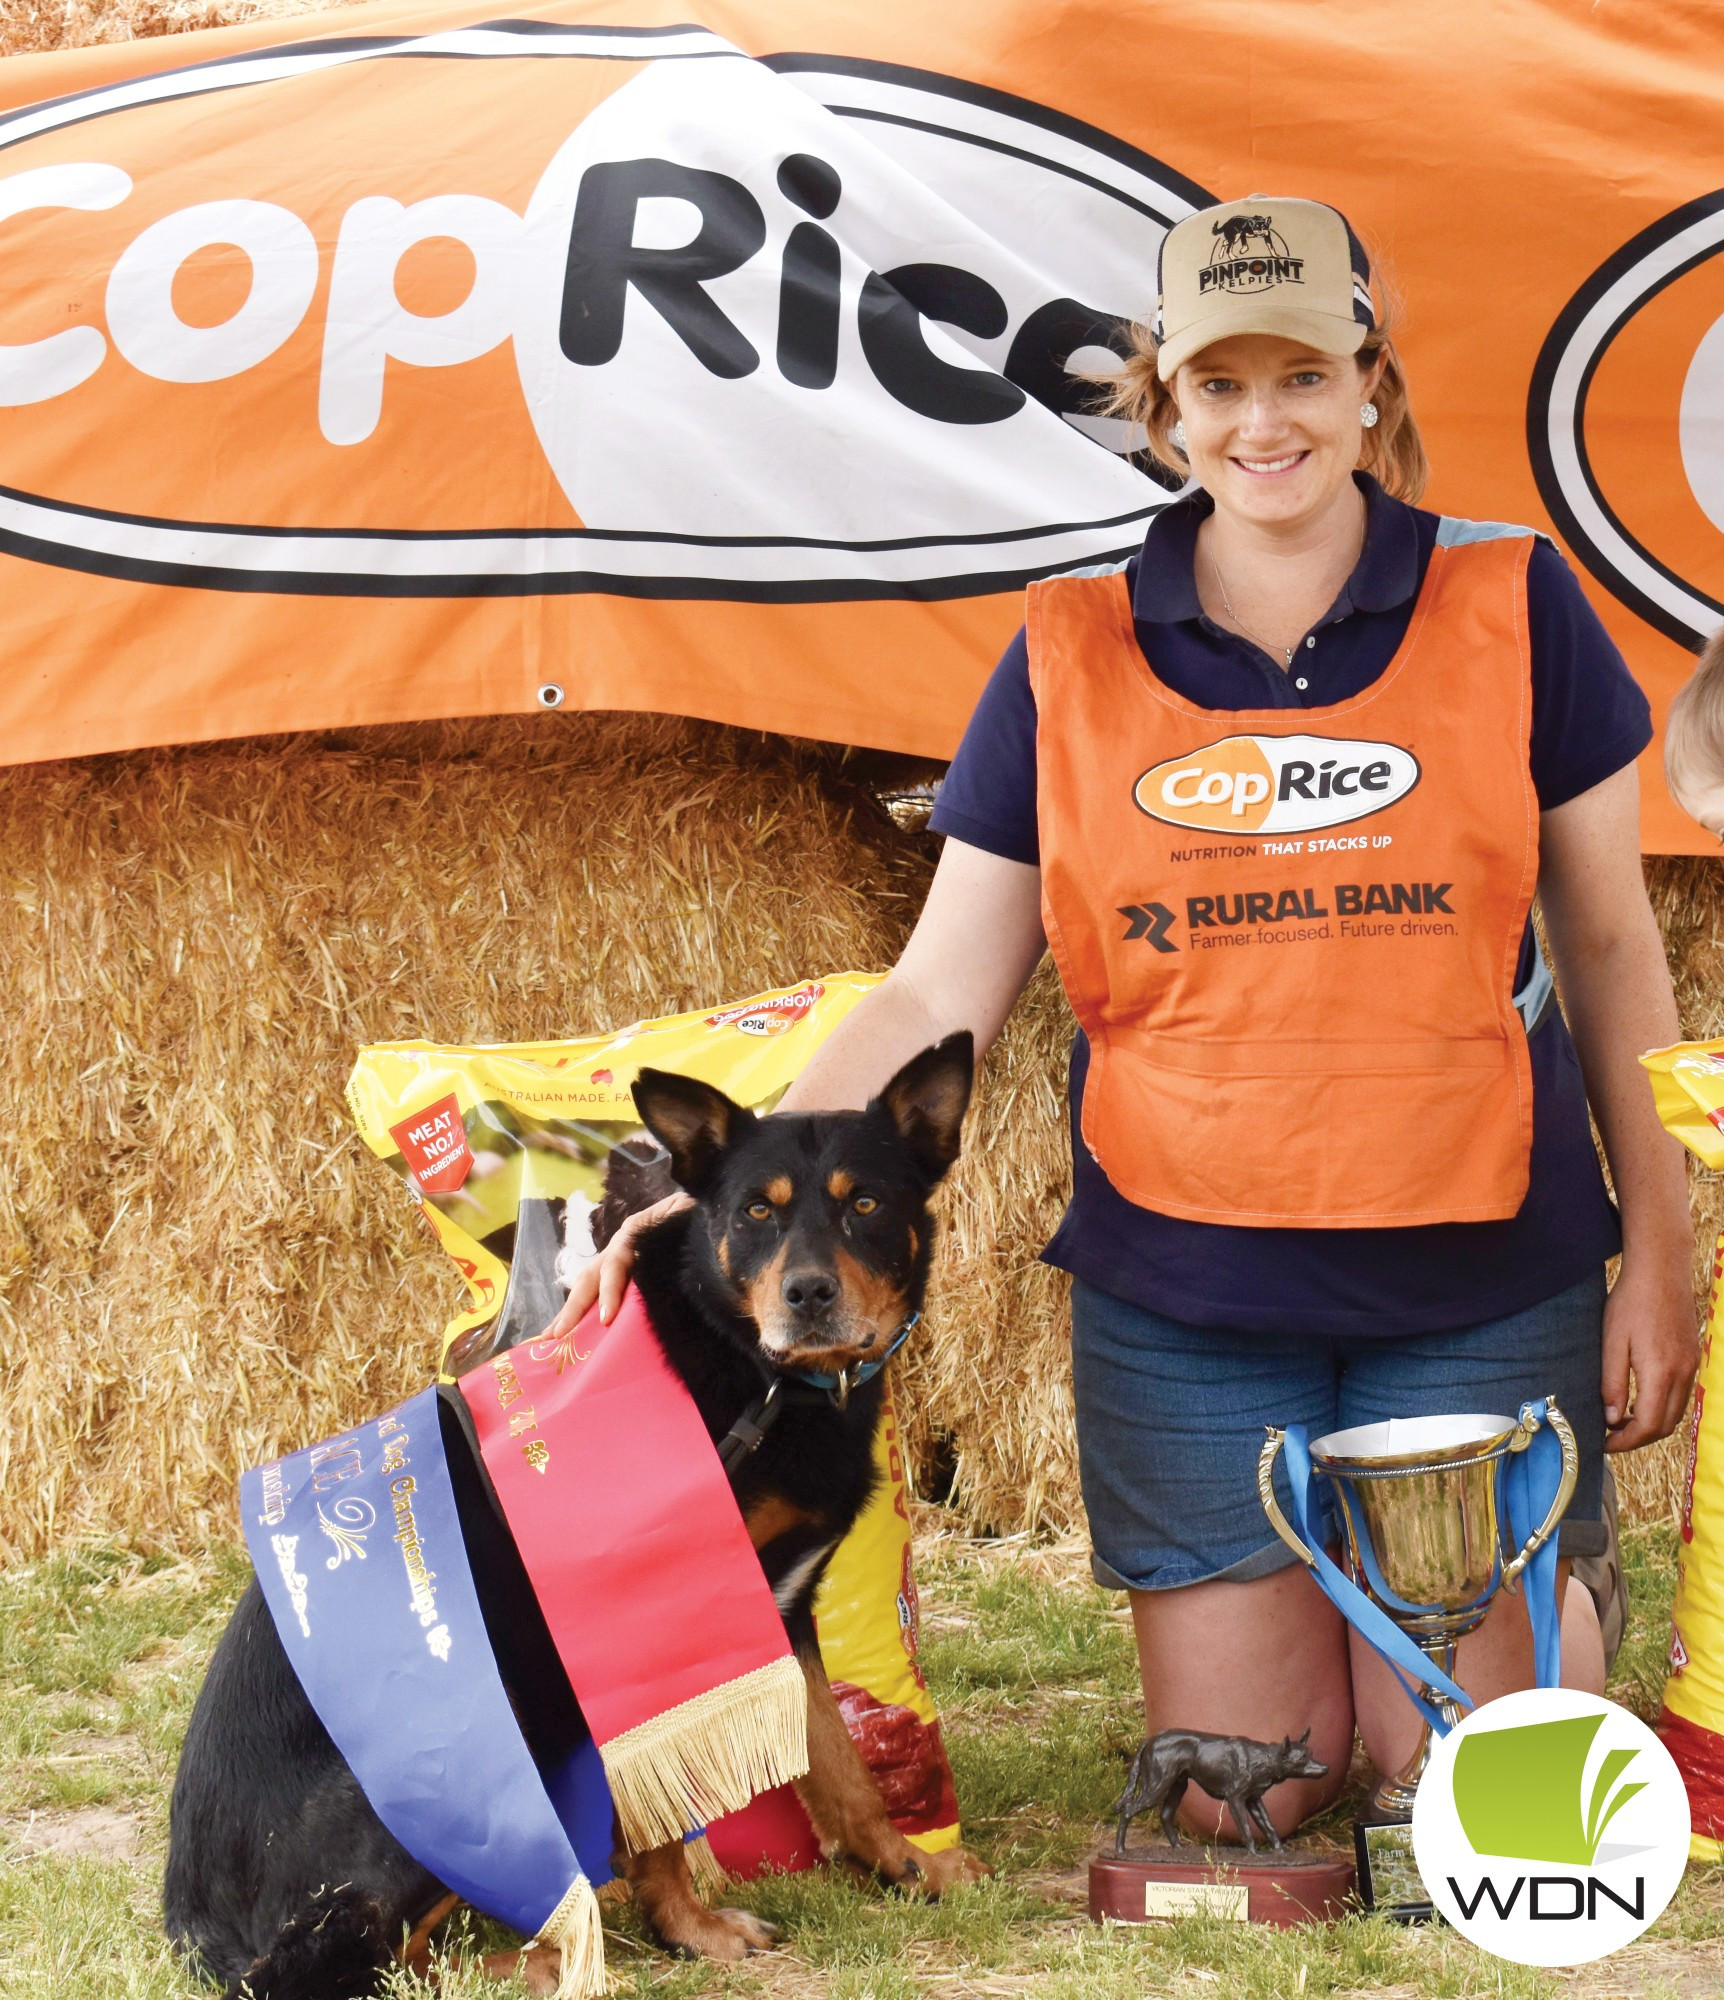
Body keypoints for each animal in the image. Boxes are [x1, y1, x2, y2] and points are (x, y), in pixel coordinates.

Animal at [172, 1040, 1000, 1992]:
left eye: (865, 1203)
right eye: (757, 1210)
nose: (808, 1295)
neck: (756, 1377)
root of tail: (193, 1921)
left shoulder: (781, 1616)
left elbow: (842, 1768)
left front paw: (908, 1865)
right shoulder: (639, 1642)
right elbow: (659, 1817)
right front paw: (692, 1931)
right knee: (363, 1962)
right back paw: (553, 1955)